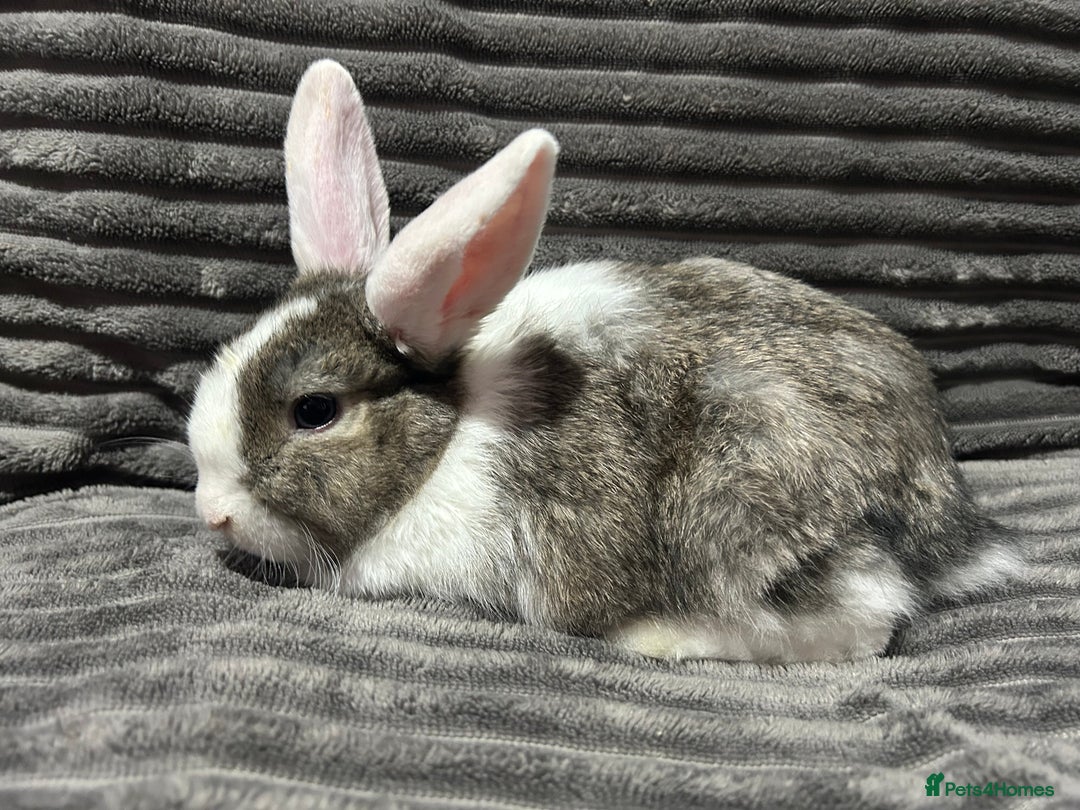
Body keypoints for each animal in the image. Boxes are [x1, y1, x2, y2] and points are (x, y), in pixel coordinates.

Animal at [188, 59, 1018, 663]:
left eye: (314, 411)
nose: (212, 512)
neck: (448, 437)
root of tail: (946, 521)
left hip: (736, 510)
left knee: (862, 623)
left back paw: (659, 636)